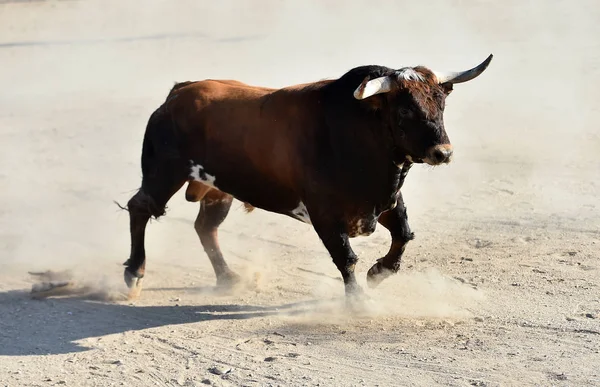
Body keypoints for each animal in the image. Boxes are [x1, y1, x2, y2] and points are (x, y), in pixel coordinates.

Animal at [120, 54, 492, 304]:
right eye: (404, 109)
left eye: (440, 103)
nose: (443, 153)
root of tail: (177, 93)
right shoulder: (325, 214)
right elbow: (346, 257)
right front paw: (358, 301)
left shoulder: (385, 201)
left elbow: (403, 235)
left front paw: (378, 273)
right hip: (163, 173)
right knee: (141, 207)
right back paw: (134, 274)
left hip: (217, 188)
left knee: (205, 227)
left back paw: (228, 277)